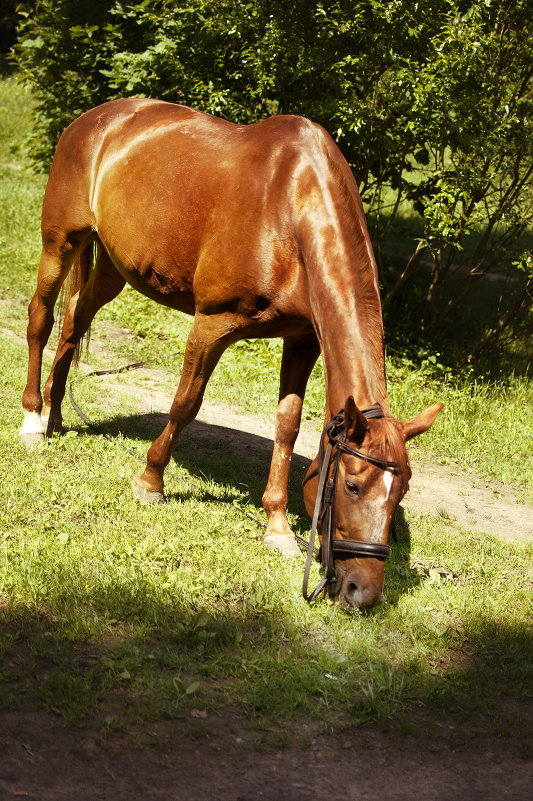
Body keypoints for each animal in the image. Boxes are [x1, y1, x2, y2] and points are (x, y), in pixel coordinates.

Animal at [19, 98, 440, 608]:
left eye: (402, 492)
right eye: (352, 485)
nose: (363, 592)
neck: (290, 211)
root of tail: (95, 118)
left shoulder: (302, 340)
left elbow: (287, 426)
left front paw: (277, 528)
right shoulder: (211, 324)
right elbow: (186, 404)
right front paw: (150, 481)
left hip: (114, 266)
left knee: (74, 324)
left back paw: (56, 414)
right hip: (59, 242)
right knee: (41, 321)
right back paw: (32, 420)